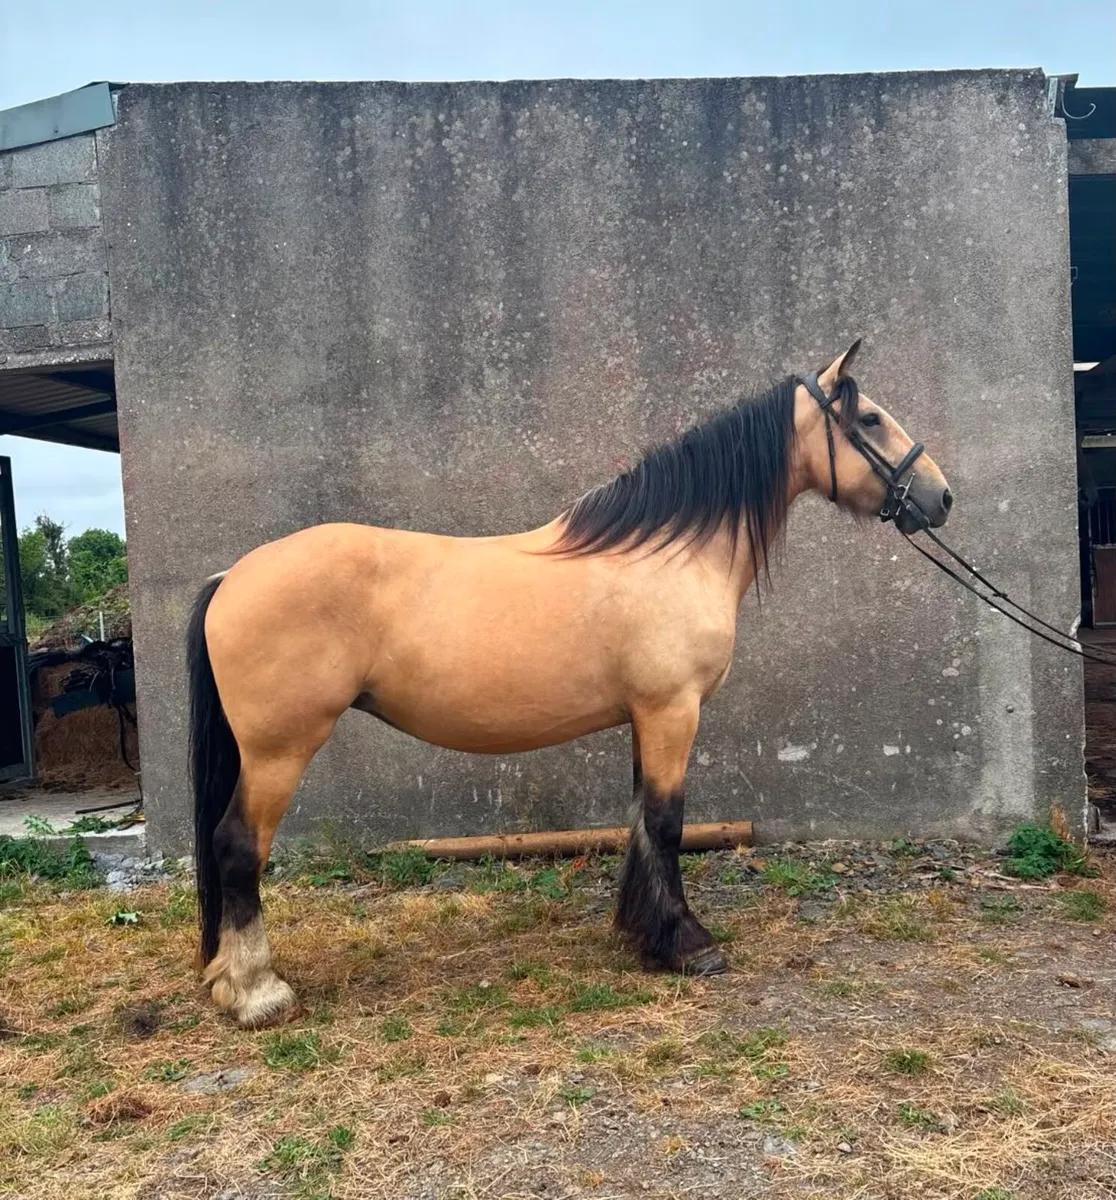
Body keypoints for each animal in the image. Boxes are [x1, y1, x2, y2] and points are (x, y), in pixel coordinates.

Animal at [186, 339, 952, 1027]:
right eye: (871, 418)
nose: (940, 497)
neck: (671, 551)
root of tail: (231, 576)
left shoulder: (646, 716)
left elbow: (641, 820)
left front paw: (644, 936)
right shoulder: (673, 711)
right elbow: (667, 823)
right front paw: (689, 946)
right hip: (280, 750)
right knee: (238, 847)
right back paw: (257, 993)